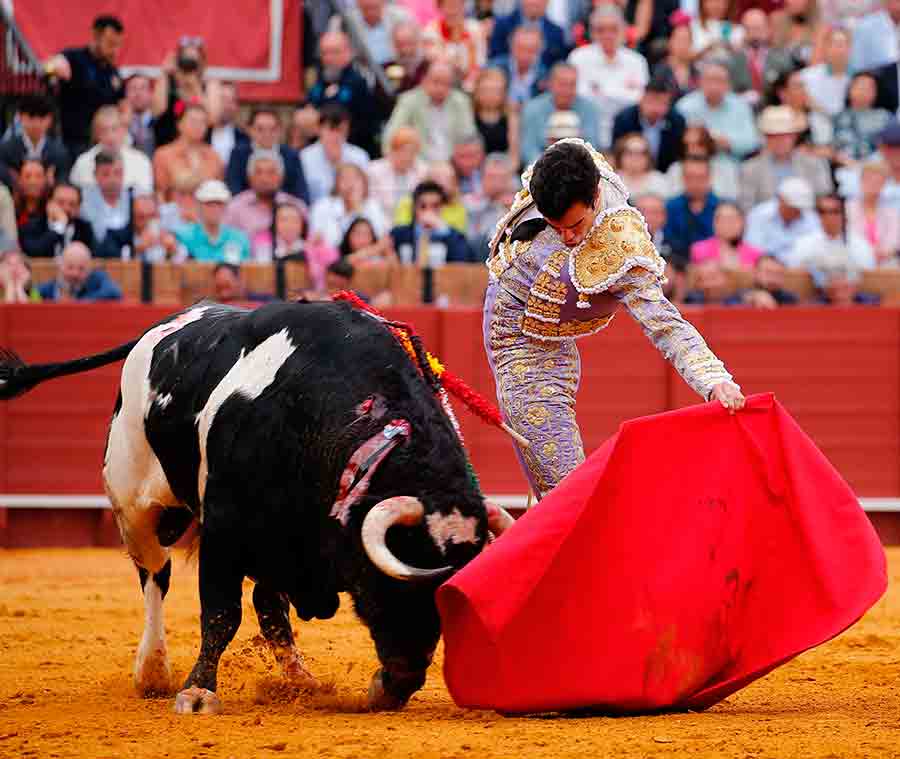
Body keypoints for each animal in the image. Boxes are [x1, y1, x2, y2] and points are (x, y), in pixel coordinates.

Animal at [0, 302, 512, 712]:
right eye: (391, 585)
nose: (400, 682)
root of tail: (165, 324)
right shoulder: (224, 532)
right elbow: (221, 614)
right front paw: (197, 692)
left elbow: (264, 609)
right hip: (136, 505)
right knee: (154, 577)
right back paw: (153, 672)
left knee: (267, 605)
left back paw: (300, 678)